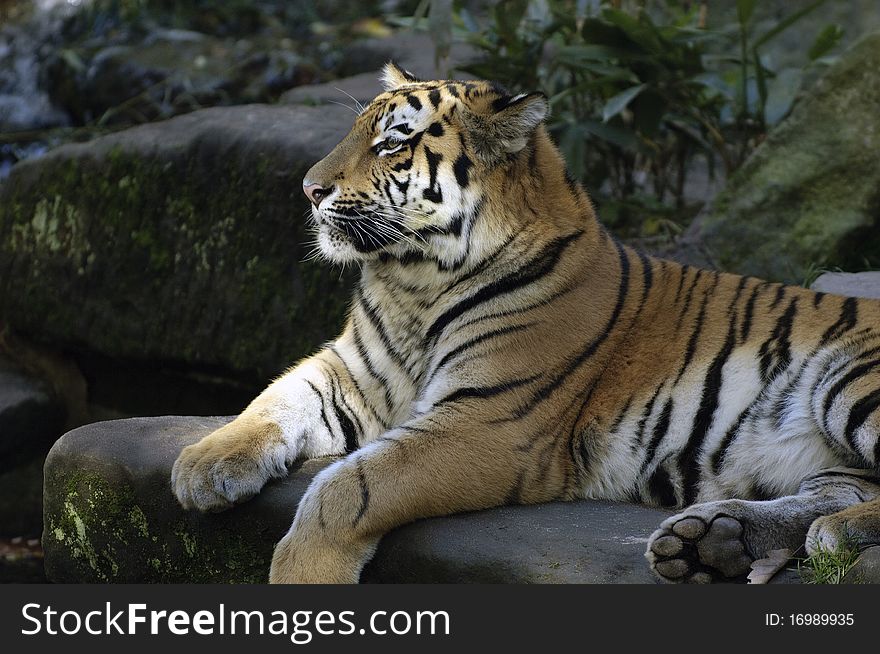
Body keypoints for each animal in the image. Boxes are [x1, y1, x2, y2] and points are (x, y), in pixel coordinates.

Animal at [170, 61, 880, 584]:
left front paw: (302, 576)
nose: (309, 189)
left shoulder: (488, 423)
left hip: (849, 381)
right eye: (354, 133)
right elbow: (277, 397)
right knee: (835, 490)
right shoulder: (352, 372)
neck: (414, 283)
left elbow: (348, 487)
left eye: (392, 142)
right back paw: (714, 540)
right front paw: (202, 464)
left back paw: (828, 536)